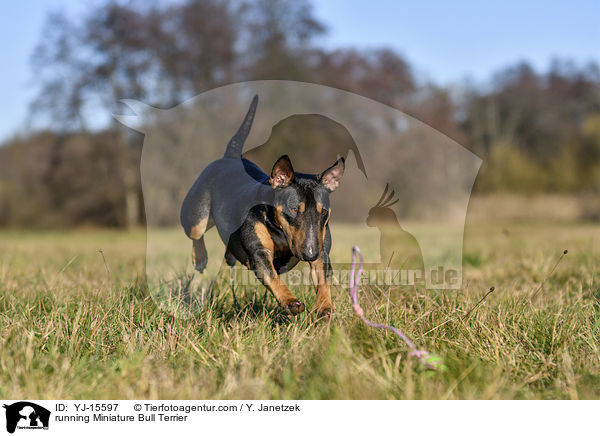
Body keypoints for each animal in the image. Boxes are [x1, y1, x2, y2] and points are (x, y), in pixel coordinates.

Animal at [180, 96, 344, 316]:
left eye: (324, 211)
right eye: (293, 209)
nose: (310, 253)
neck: (280, 229)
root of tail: (231, 156)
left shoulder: (322, 248)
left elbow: (323, 279)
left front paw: (325, 309)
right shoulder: (259, 252)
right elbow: (272, 277)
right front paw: (291, 302)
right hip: (196, 214)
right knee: (195, 233)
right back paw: (200, 258)